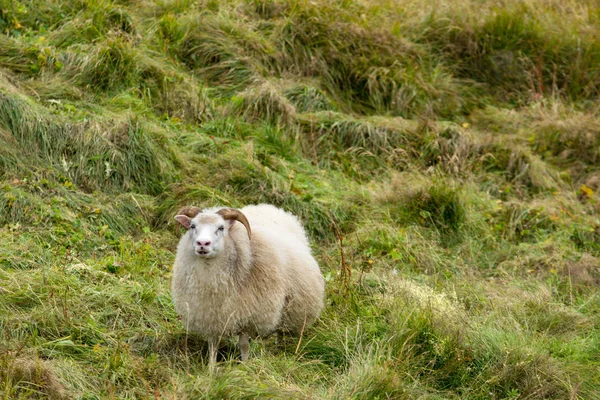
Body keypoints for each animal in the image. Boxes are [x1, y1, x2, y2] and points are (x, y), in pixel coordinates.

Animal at [171, 205, 326, 364]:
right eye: (192, 226)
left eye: (221, 227)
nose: (202, 244)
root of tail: (270, 208)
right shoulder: (210, 316)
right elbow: (212, 346)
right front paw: (211, 367)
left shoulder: (248, 317)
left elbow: (244, 345)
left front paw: (245, 365)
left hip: (290, 308)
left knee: (280, 331)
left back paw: (279, 349)